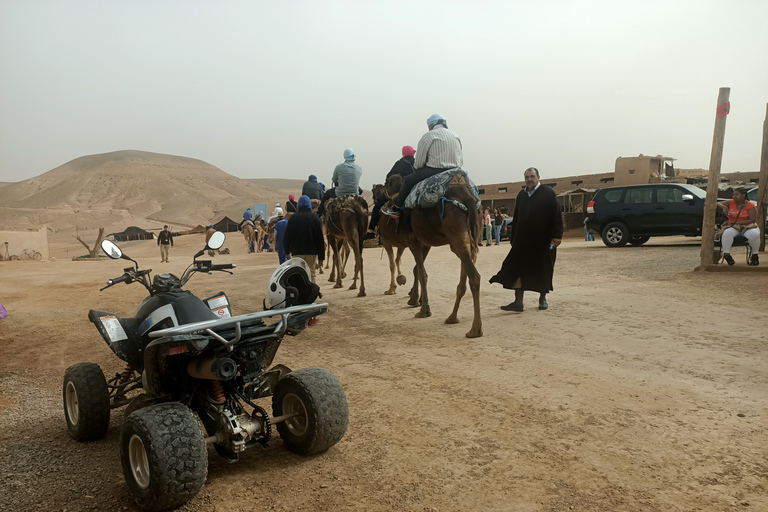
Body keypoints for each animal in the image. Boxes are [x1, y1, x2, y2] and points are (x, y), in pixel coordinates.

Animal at [388, 172, 484, 338]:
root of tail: (469, 199)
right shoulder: (426, 242)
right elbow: (418, 270)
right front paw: (416, 300)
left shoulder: (412, 239)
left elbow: (421, 273)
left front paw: (423, 309)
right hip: (468, 235)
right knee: (465, 276)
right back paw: (452, 317)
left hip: (454, 226)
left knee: (474, 276)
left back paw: (475, 329)